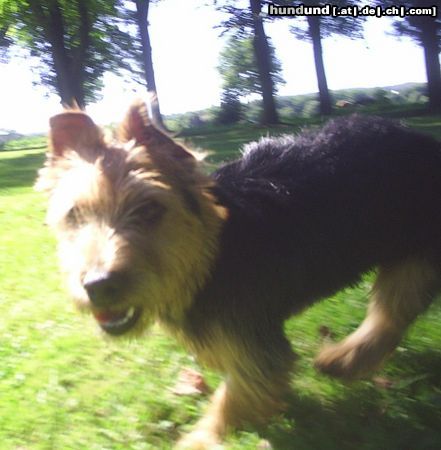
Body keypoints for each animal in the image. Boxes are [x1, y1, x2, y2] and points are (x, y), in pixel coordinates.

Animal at [37, 103, 440, 450]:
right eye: (74, 215)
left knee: (392, 311)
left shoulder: (257, 346)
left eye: (151, 209)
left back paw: (347, 357)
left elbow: (235, 396)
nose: (98, 285)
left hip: (416, 256)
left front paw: (199, 440)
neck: (210, 257)